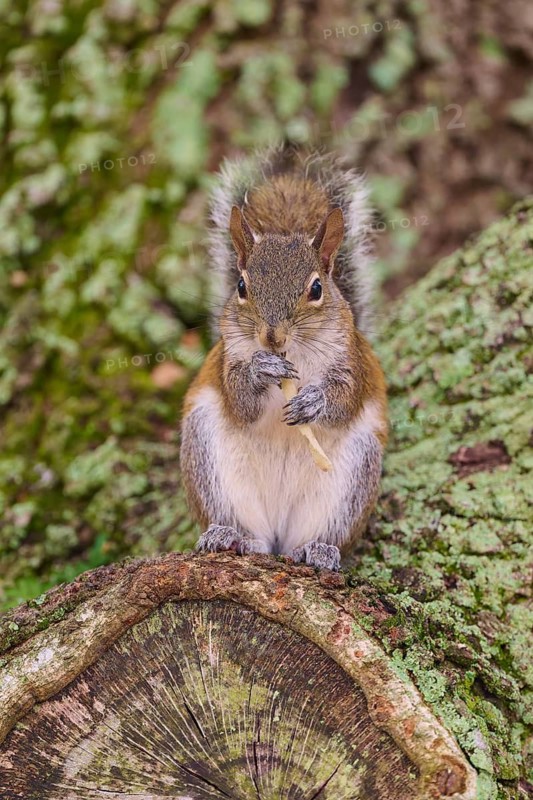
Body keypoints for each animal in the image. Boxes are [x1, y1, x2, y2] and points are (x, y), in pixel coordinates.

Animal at [180, 146, 387, 571]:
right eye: (241, 286)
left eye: (317, 288)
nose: (272, 338)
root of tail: (278, 535)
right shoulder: (228, 358)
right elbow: (240, 401)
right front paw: (261, 371)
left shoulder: (352, 361)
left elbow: (344, 400)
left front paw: (313, 401)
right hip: (212, 466)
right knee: (250, 532)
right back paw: (232, 537)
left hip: (350, 482)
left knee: (316, 536)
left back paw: (316, 550)